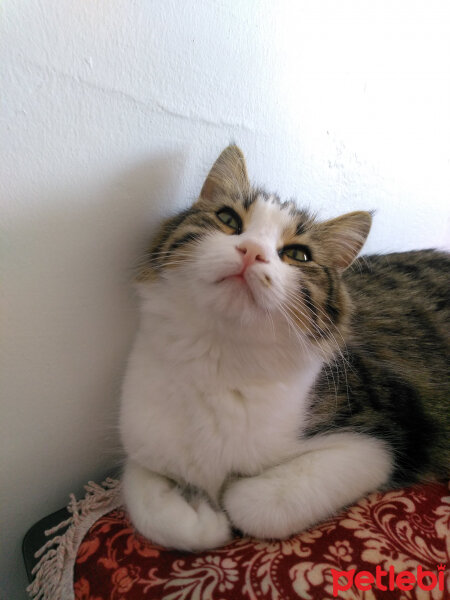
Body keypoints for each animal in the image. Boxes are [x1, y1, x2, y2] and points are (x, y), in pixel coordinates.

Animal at [120, 143, 450, 552]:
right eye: (228, 219)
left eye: (298, 255)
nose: (251, 251)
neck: (218, 353)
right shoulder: (141, 442)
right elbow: (149, 503)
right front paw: (201, 516)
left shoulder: (380, 438)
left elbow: (254, 504)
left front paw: (222, 503)